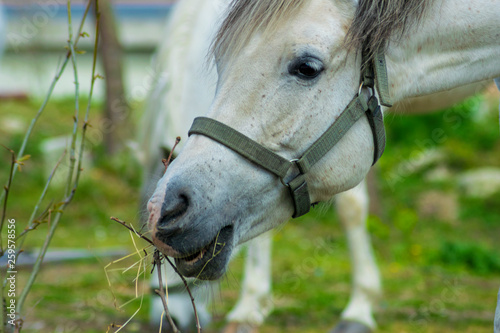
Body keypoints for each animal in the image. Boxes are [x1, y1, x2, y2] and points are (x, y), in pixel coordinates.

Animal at [141, 0, 500, 330]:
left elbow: (351, 208)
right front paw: (252, 304)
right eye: (219, 61)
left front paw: (359, 308)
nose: (166, 211)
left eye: (307, 67)